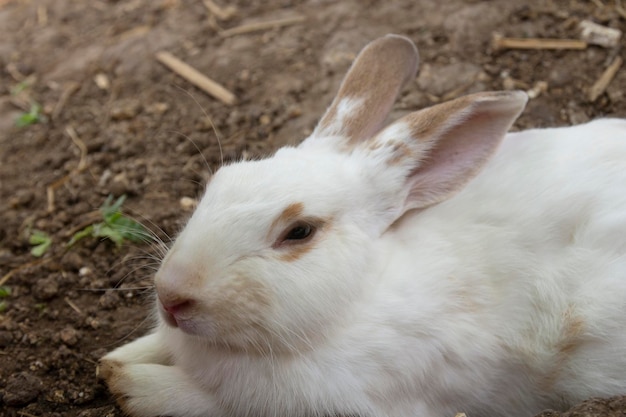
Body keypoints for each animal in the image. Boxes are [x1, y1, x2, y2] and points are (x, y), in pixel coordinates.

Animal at [100, 33, 624, 416]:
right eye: (219, 182)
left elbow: (201, 401)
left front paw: (127, 384)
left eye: (299, 232)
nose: (172, 297)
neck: (356, 302)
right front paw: (113, 363)